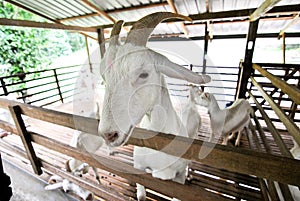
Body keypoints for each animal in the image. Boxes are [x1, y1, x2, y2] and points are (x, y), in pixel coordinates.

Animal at [98, 12, 211, 201]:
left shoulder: (179, 176)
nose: (108, 134)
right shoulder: (139, 167)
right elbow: (141, 195)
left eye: (143, 74)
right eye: (104, 78)